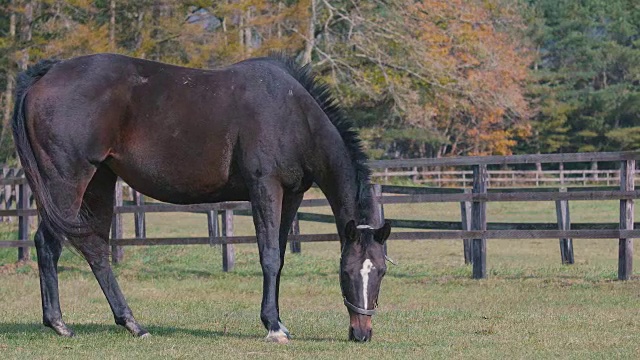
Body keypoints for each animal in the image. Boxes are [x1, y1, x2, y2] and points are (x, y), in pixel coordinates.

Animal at [12, 53, 392, 344]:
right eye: (346, 271)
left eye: (382, 271)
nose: (362, 333)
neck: (292, 113)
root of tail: (46, 74)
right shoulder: (265, 187)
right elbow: (269, 256)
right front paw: (273, 327)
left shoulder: (293, 195)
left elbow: (281, 256)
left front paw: (279, 321)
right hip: (66, 182)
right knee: (48, 243)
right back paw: (59, 324)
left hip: (100, 181)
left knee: (95, 250)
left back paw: (132, 324)